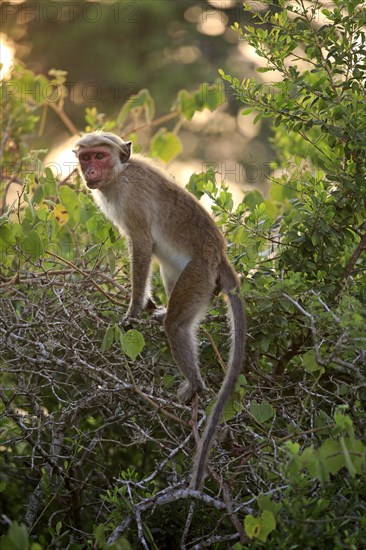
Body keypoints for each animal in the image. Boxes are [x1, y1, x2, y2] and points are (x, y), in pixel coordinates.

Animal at [74, 133, 246, 492]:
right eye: (85, 157)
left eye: (100, 155)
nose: (90, 170)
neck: (119, 175)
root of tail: (219, 254)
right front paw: (148, 304)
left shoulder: (132, 198)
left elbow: (141, 245)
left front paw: (133, 309)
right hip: (195, 278)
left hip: (199, 275)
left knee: (177, 325)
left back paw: (195, 384)